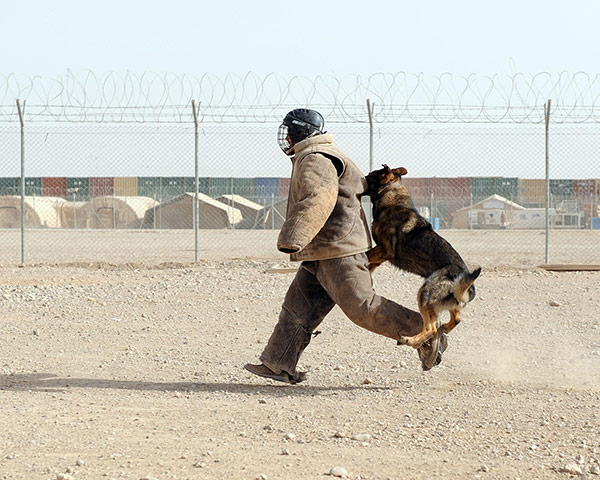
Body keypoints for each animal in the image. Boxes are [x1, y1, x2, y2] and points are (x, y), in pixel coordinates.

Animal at [364, 167, 480, 350]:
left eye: (369, 176)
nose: (361, 177)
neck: (390, 193)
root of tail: (467, 285)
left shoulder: (385, 249)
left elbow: (368, 255)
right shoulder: (382, 253)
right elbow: (370, 263)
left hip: (424, 293)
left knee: (431, 328)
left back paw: (411, 340)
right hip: (443, 302)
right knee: (455, 319)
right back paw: (444, 328)